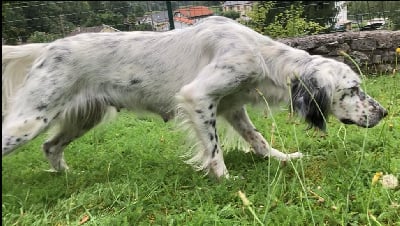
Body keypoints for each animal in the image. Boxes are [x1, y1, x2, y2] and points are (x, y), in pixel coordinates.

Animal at [1, 15, 386, 179]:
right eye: (353, 90)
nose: (383, 113)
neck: (261, 55)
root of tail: (48, 47)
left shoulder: (232, 107)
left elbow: (258, 139)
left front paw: (282, 158)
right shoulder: (198, 98)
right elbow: (214, 150)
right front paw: (225, 180)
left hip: (83, 117)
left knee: (50, 146)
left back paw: (67, 177)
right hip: (31, 119)